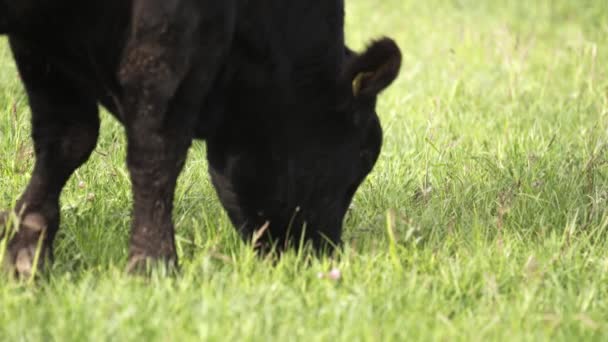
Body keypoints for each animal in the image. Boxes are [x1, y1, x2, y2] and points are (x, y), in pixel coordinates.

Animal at [0, 0, 402, 274]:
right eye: (364, 155)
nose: (323, 253)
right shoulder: (171, 33)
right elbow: (157, 149)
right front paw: (153, 265)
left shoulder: (43, 44)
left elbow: (67, 138)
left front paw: (26, 252)